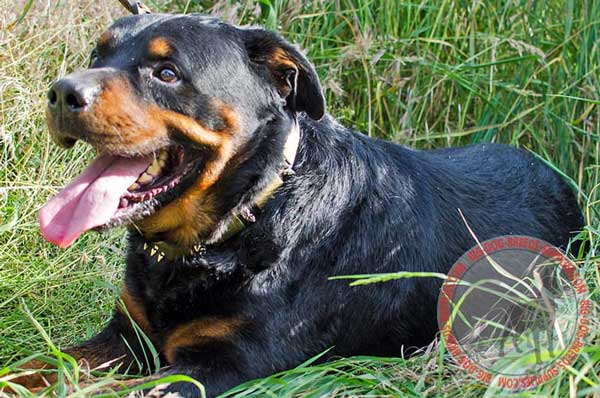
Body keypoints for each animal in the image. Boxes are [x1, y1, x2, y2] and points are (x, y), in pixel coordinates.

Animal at [17, 10, 580, 396]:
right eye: (98, 56)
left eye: (167, 73)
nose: (61, 92)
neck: (244, 219)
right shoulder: (126, 335)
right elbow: (41, 365)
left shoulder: (222, 361)